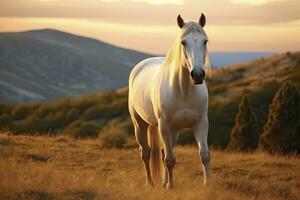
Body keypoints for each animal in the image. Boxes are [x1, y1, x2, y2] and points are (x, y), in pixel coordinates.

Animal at [128, 14, 211, 189]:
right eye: (183, 42)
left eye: (205, 41)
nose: (197, 75)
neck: (183, 90)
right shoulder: (164, 125)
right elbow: (170, 160)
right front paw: (171, 187)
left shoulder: (201, 123)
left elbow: (204, 155)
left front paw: (208, 184)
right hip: (140, 124)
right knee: (146, 152)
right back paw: (150, 182)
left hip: (174, 131)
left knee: (163, 152)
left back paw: (163, 182)